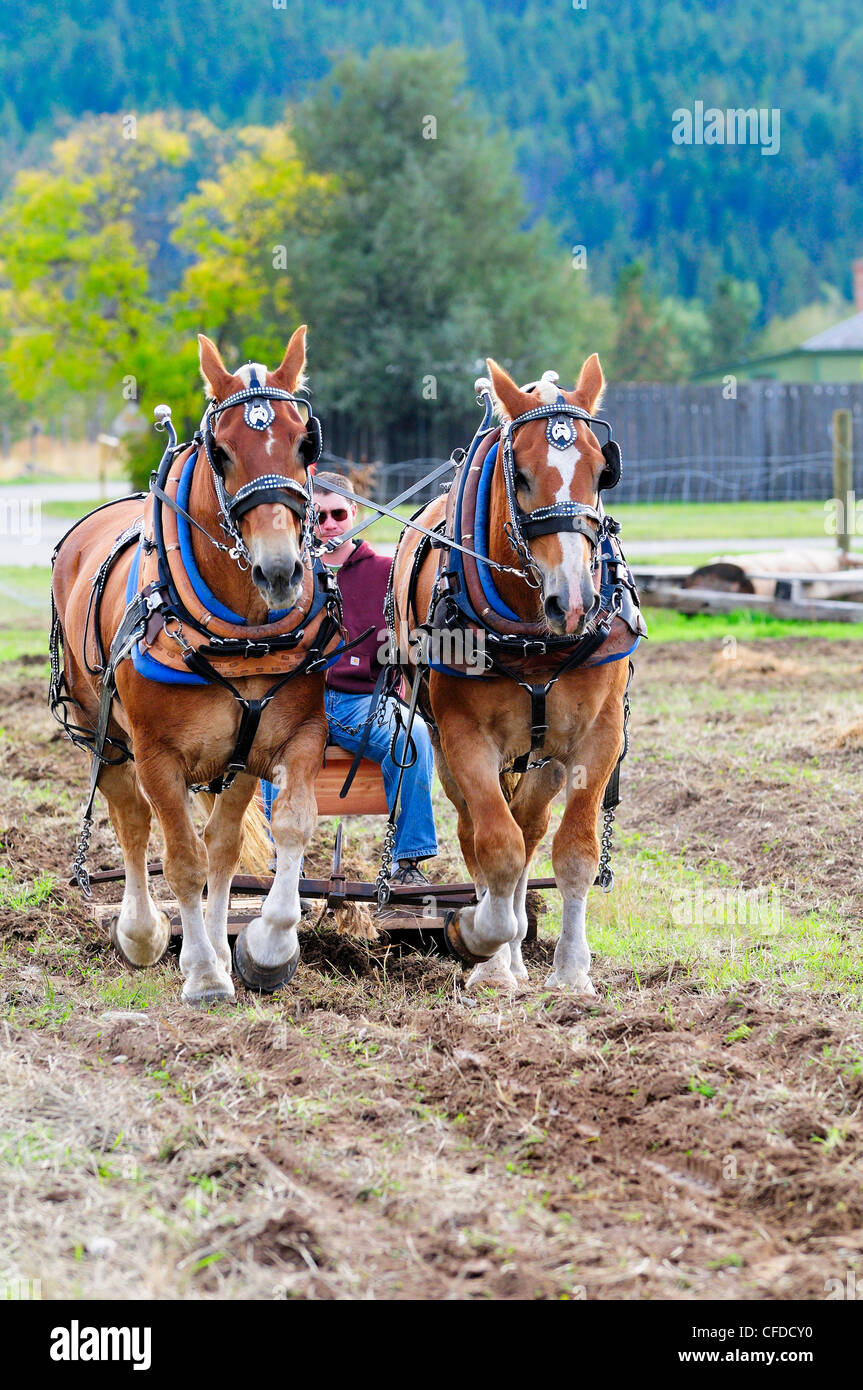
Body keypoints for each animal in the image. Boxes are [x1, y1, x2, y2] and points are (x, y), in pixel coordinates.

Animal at [50, 327, 340, 1004]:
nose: (280, 571)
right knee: (133, 825)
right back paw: (144, 933)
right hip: (102, 733)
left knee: (221, 846)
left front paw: (266, 947)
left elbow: (281, 830)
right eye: (223, 452)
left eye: (305, 443)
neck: (243, 636)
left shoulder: (288, 737)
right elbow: (180, 858)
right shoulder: (157, 754)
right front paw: (205, 974)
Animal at [390, 353, 643, 994]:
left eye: (601, 472)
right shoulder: (465, 739)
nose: (573, 602)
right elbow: (495, 847)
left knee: (530, 826)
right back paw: (500, 949)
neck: (536, 635)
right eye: (522, 477)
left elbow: (573, 850)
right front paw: (484, 947)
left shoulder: (599, 736)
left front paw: (572, 973)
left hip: (544, 755)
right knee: (479, 835)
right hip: (448, 748)